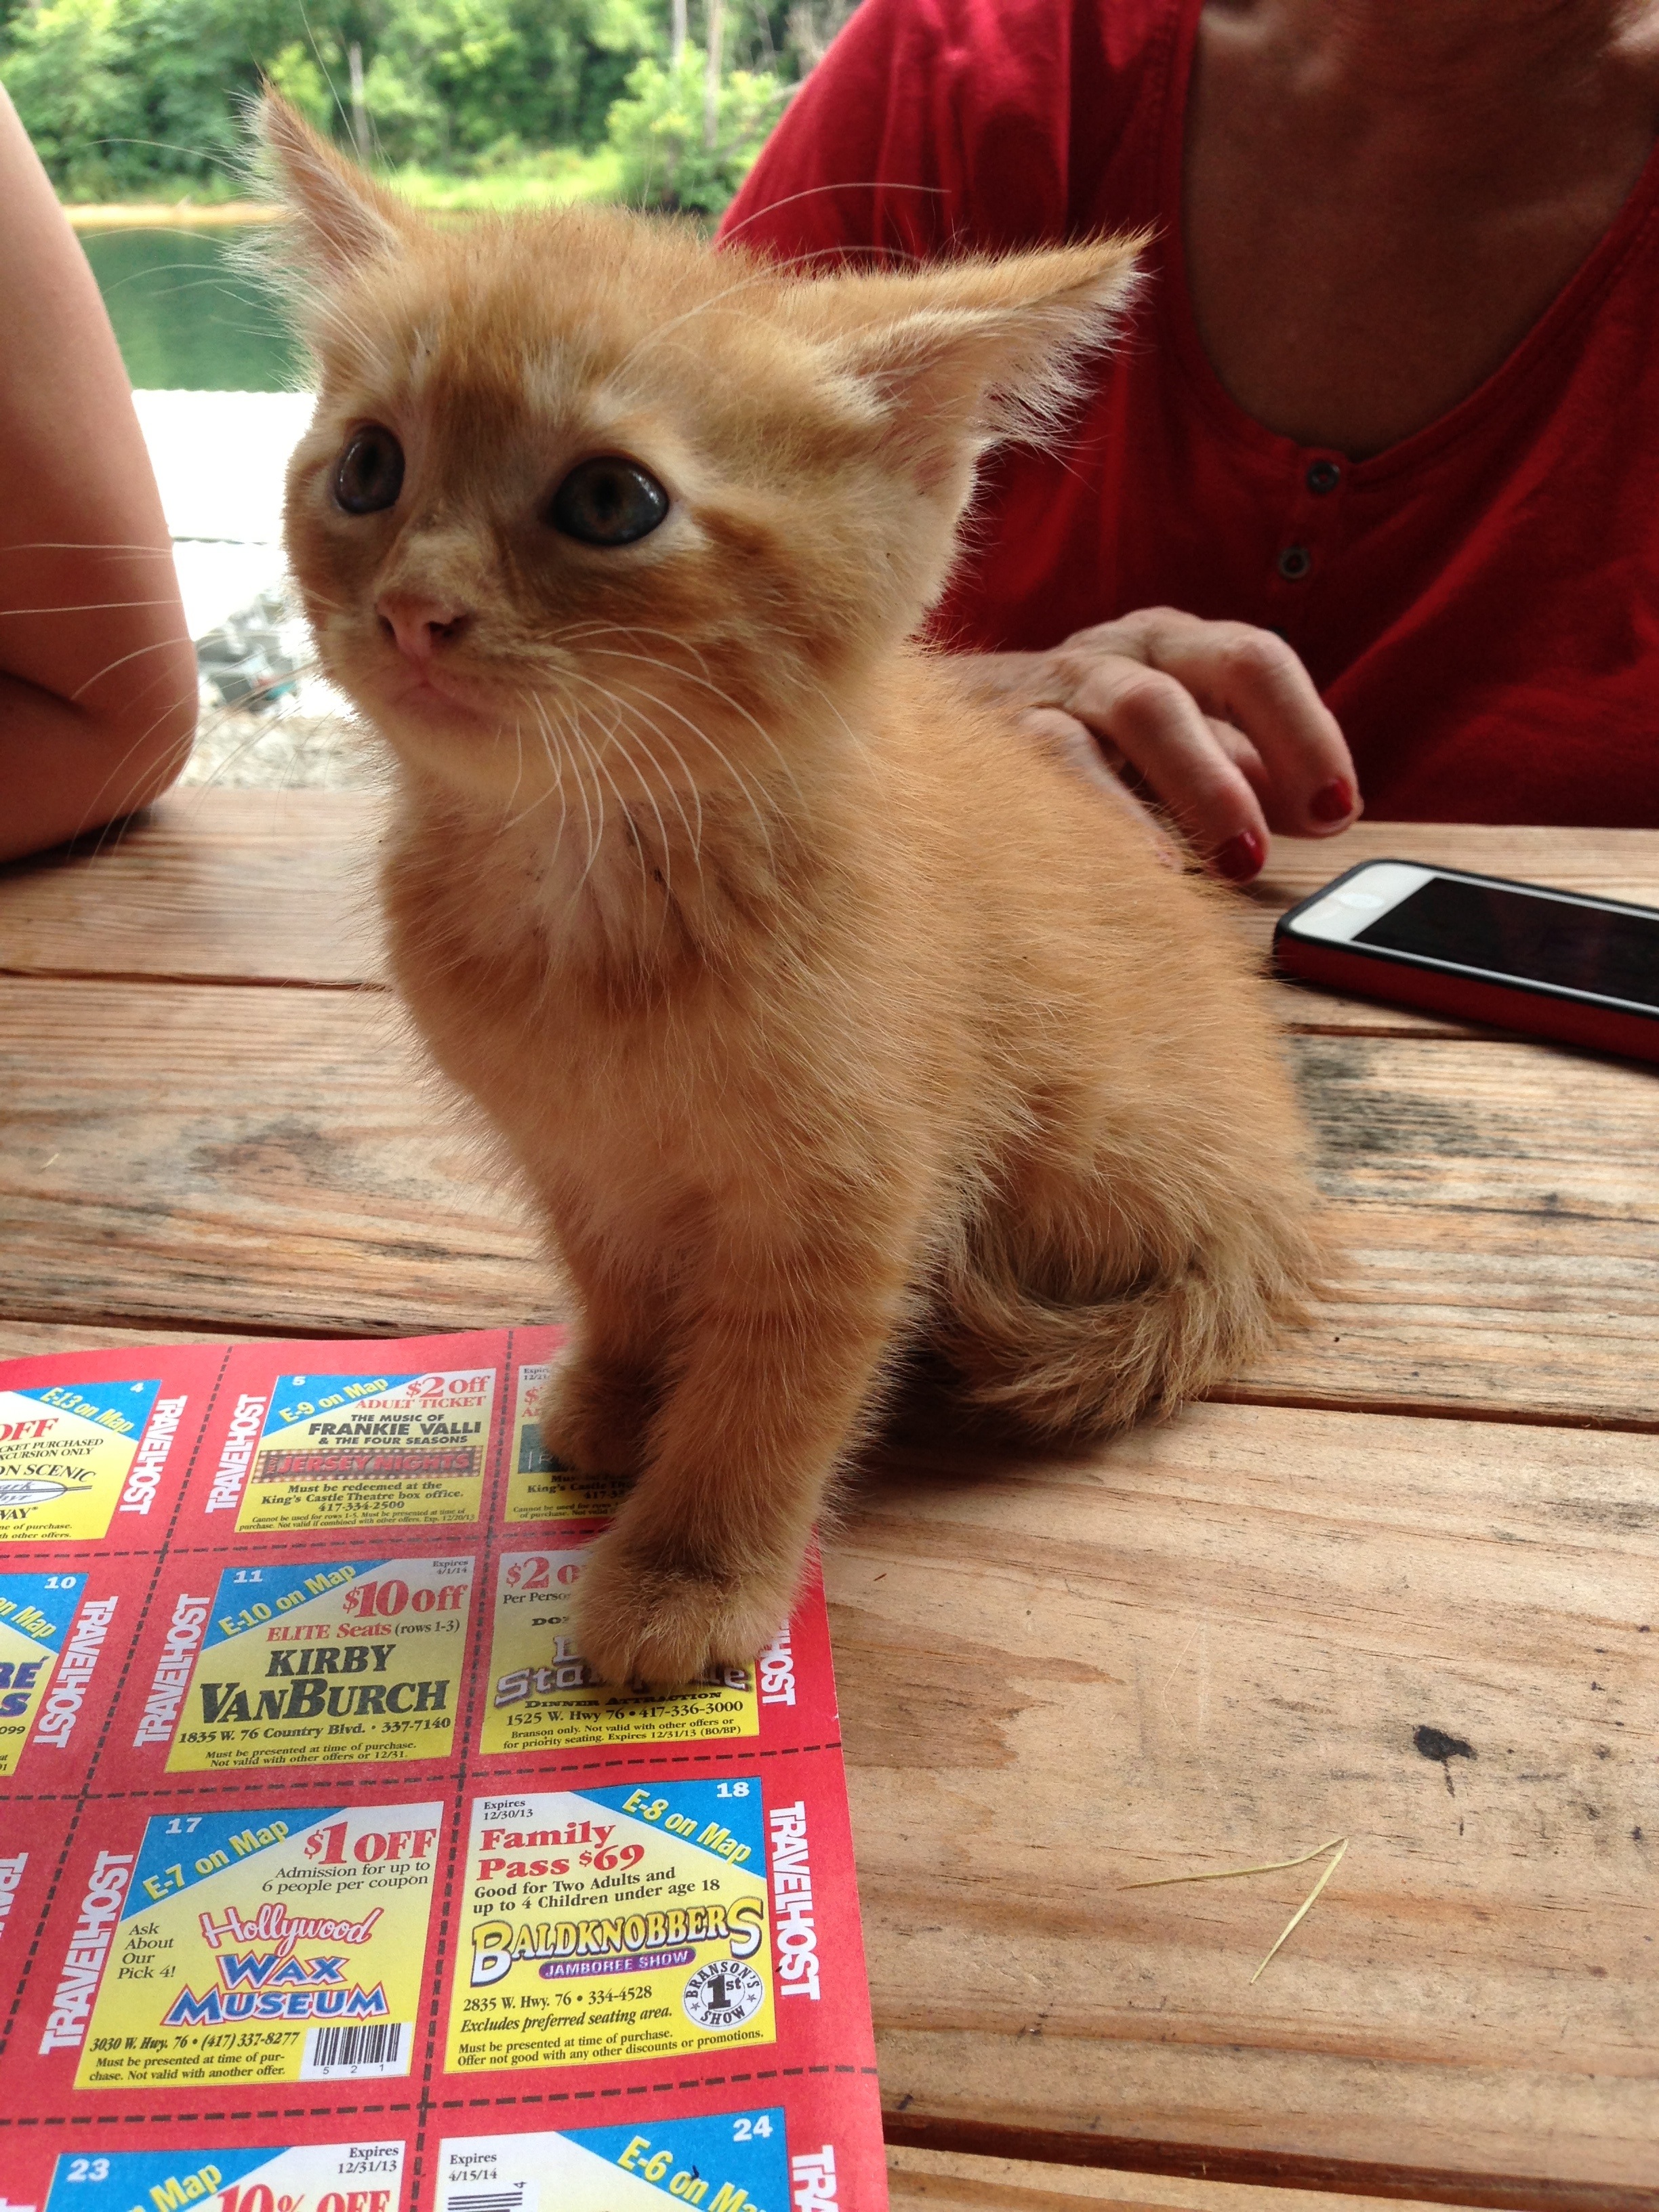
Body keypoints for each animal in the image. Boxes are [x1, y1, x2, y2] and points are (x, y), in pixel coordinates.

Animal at [265, 94, 1323, 1691]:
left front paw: (688, 1574)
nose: (410, 607)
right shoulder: (575, 1159)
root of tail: (1280, 1199)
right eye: (370, 470)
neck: (585, 899)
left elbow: (771, 1394)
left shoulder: (856, 1194)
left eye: (610, 499)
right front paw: (616, 1392)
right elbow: (623, 1279)